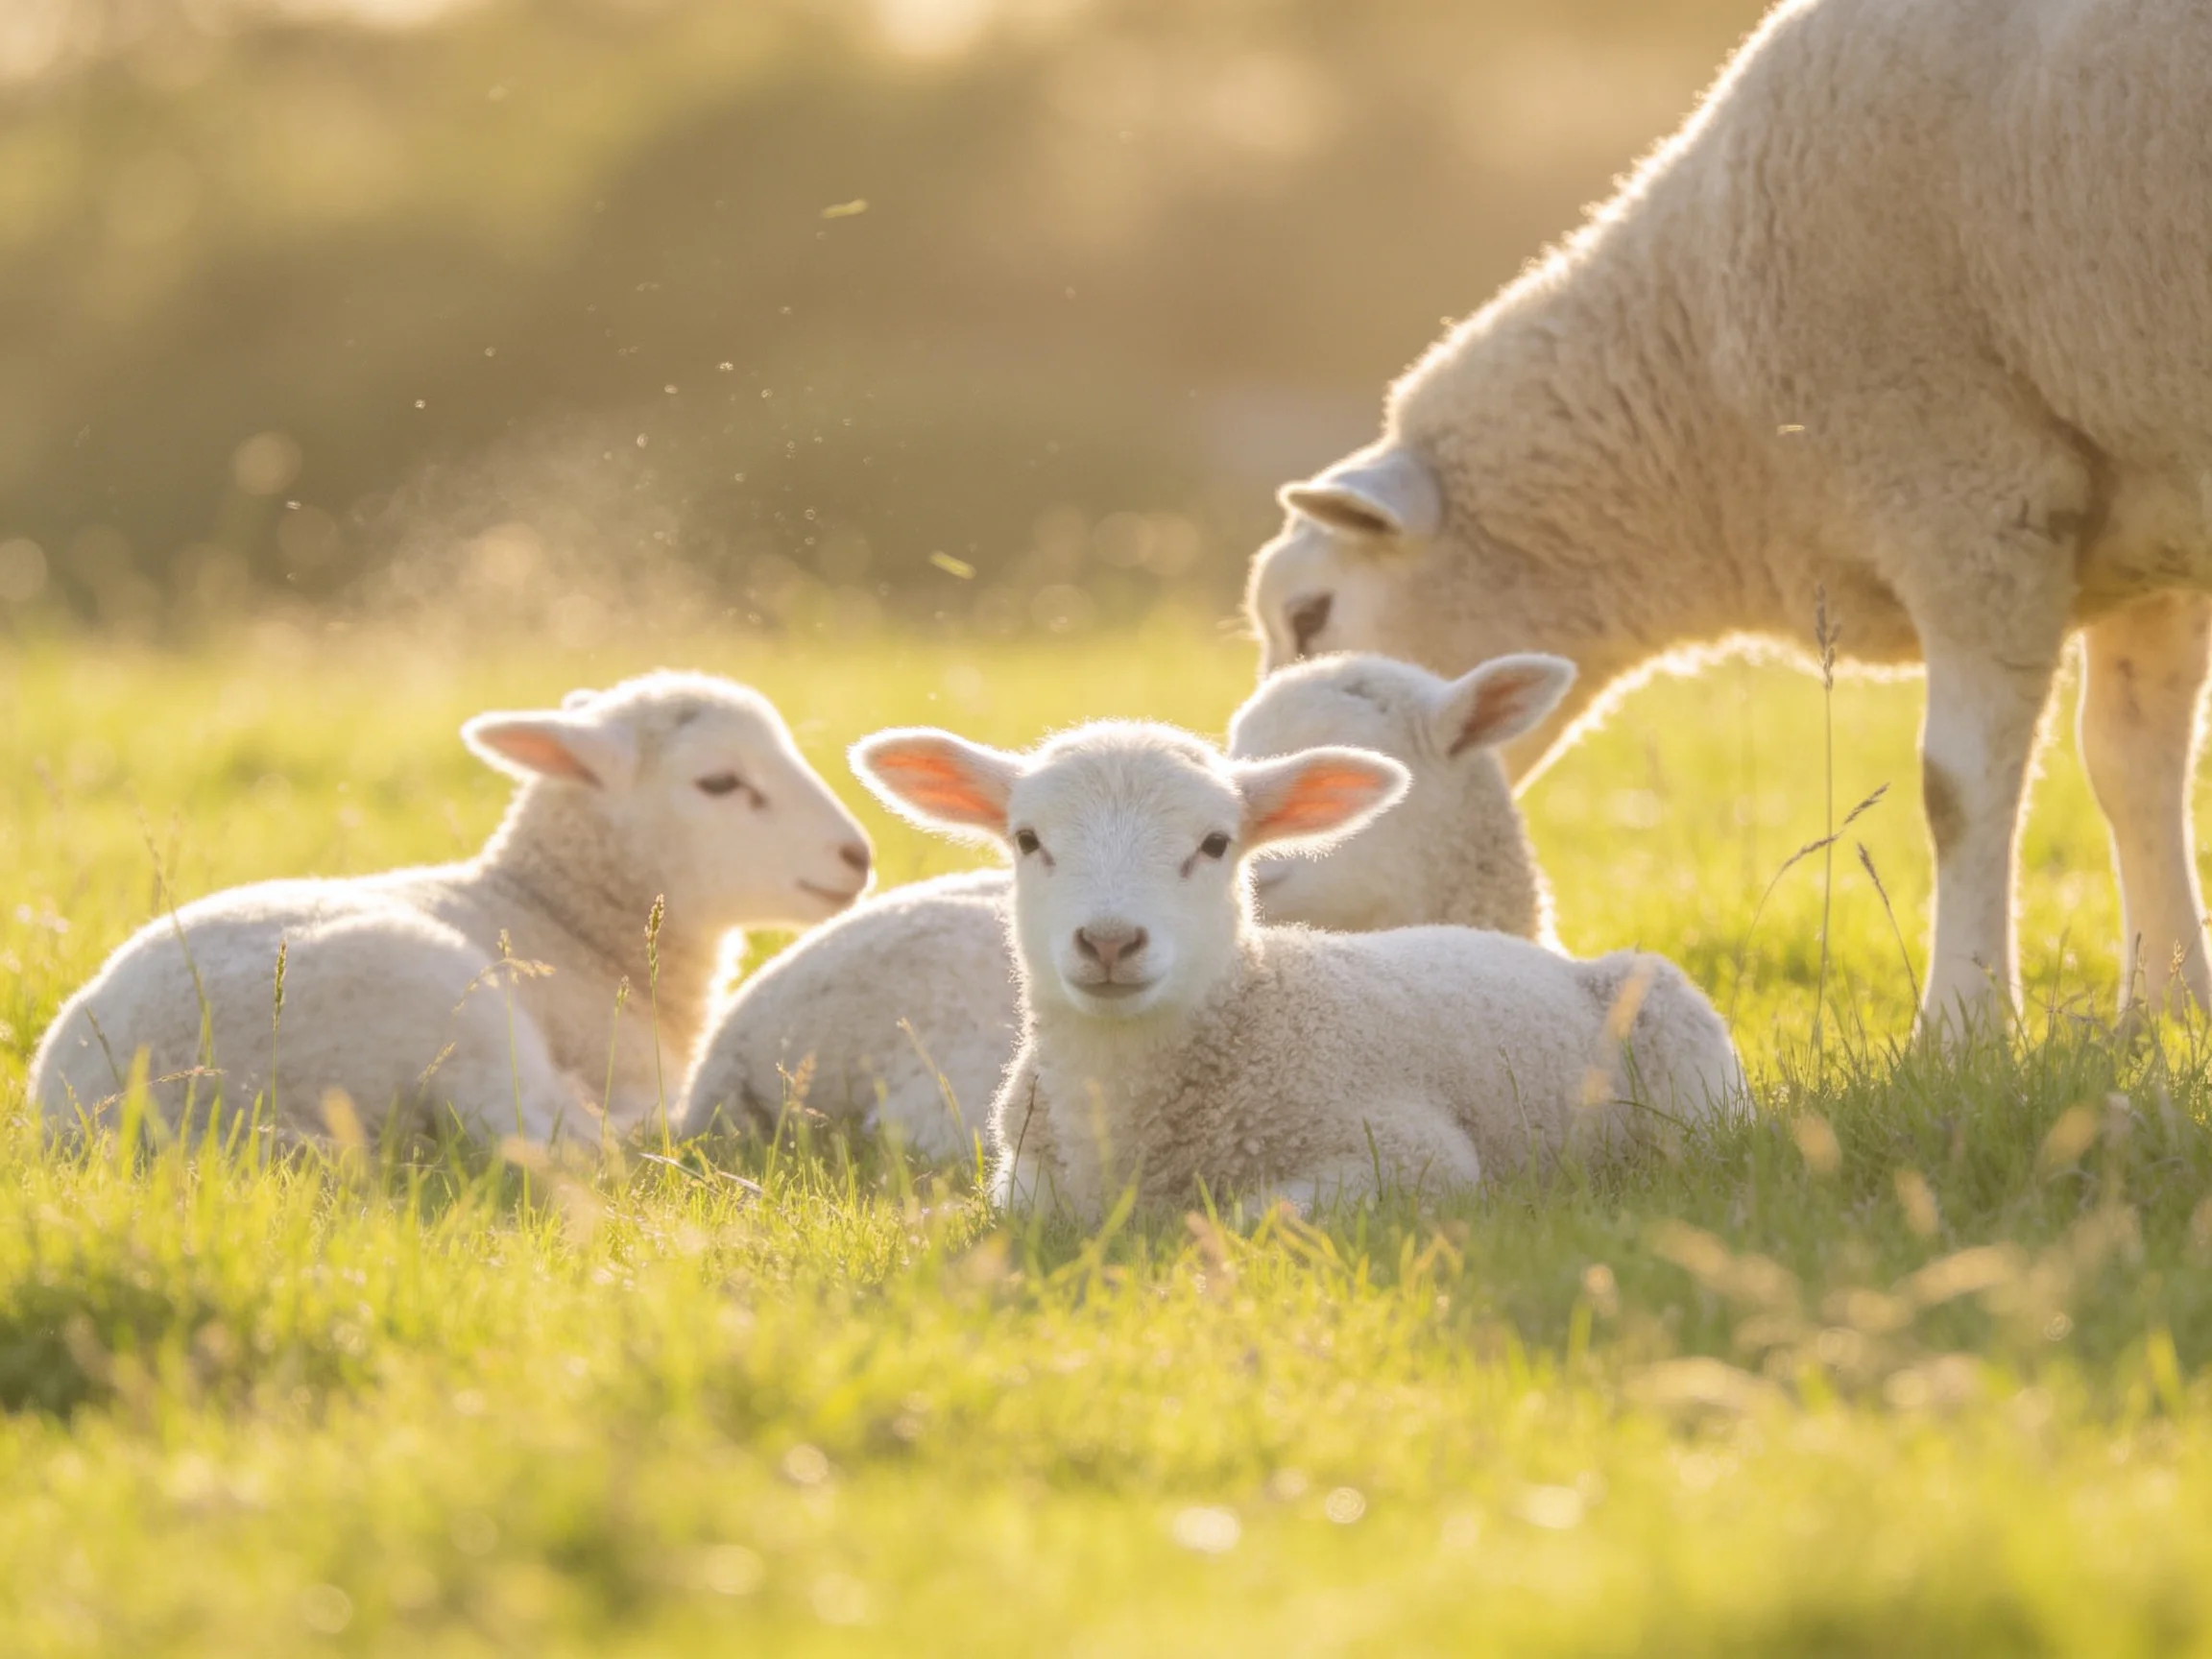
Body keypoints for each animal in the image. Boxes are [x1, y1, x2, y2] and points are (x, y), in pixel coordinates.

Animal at [849, 719, 1743, 1220]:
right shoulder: (1025, 1172)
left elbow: (1250, 1217)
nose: (1108, 941)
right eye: (1028, 840)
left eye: (1216, 844)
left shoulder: (1413, 1158)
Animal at [1242, 0, 2212, 1031]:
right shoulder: (2145, 520)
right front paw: (2170, 1008)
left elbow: (1956, 790)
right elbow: (2134, 766)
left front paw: (1961, 1025)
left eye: (1309, 615)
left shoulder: (1966, 485)